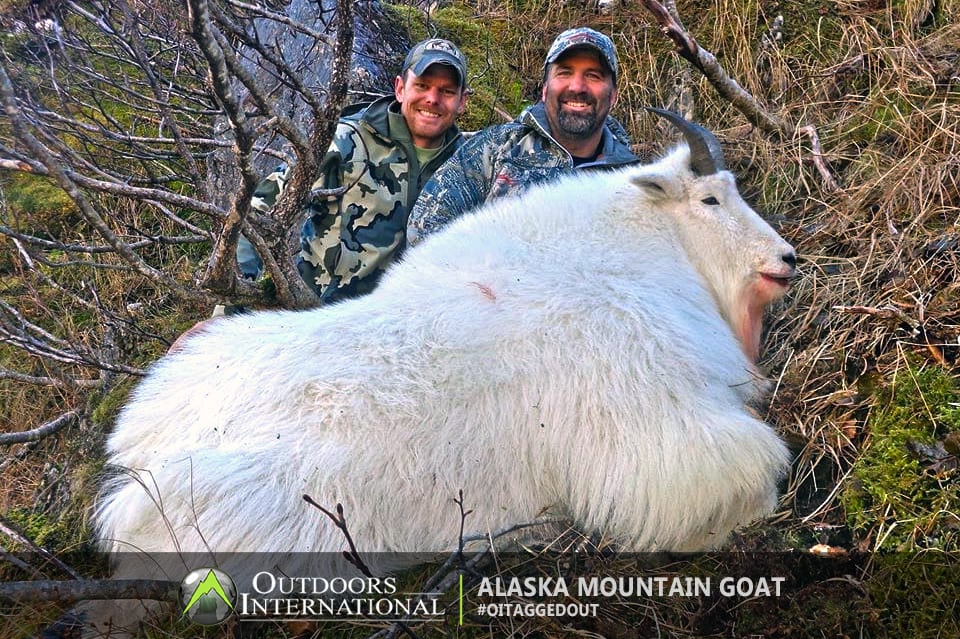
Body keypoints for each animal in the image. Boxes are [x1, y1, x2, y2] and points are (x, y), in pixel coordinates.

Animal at [92, 110, 796, 568]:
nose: (786, 260)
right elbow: (752, 477)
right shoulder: (659, 433)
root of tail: (132, 480)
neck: (637, 250)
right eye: (710, 199)